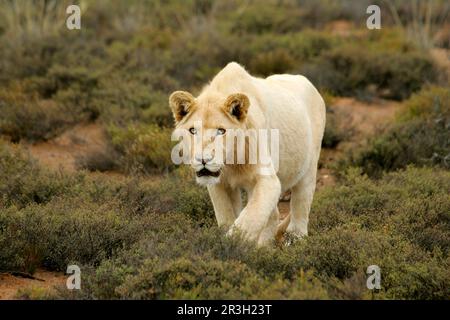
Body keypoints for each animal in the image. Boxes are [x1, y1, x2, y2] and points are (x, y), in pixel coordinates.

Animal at [169, 63, 324, 248]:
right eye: (193, 130)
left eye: (221, 131)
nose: (203, 160)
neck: (231, 162)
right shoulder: (219, 184)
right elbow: (226, 215)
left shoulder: (267, 180)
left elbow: (250, 216)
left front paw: (231, 244)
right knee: (273, 214)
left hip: (309, 166)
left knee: (300, 203)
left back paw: (294, 238)